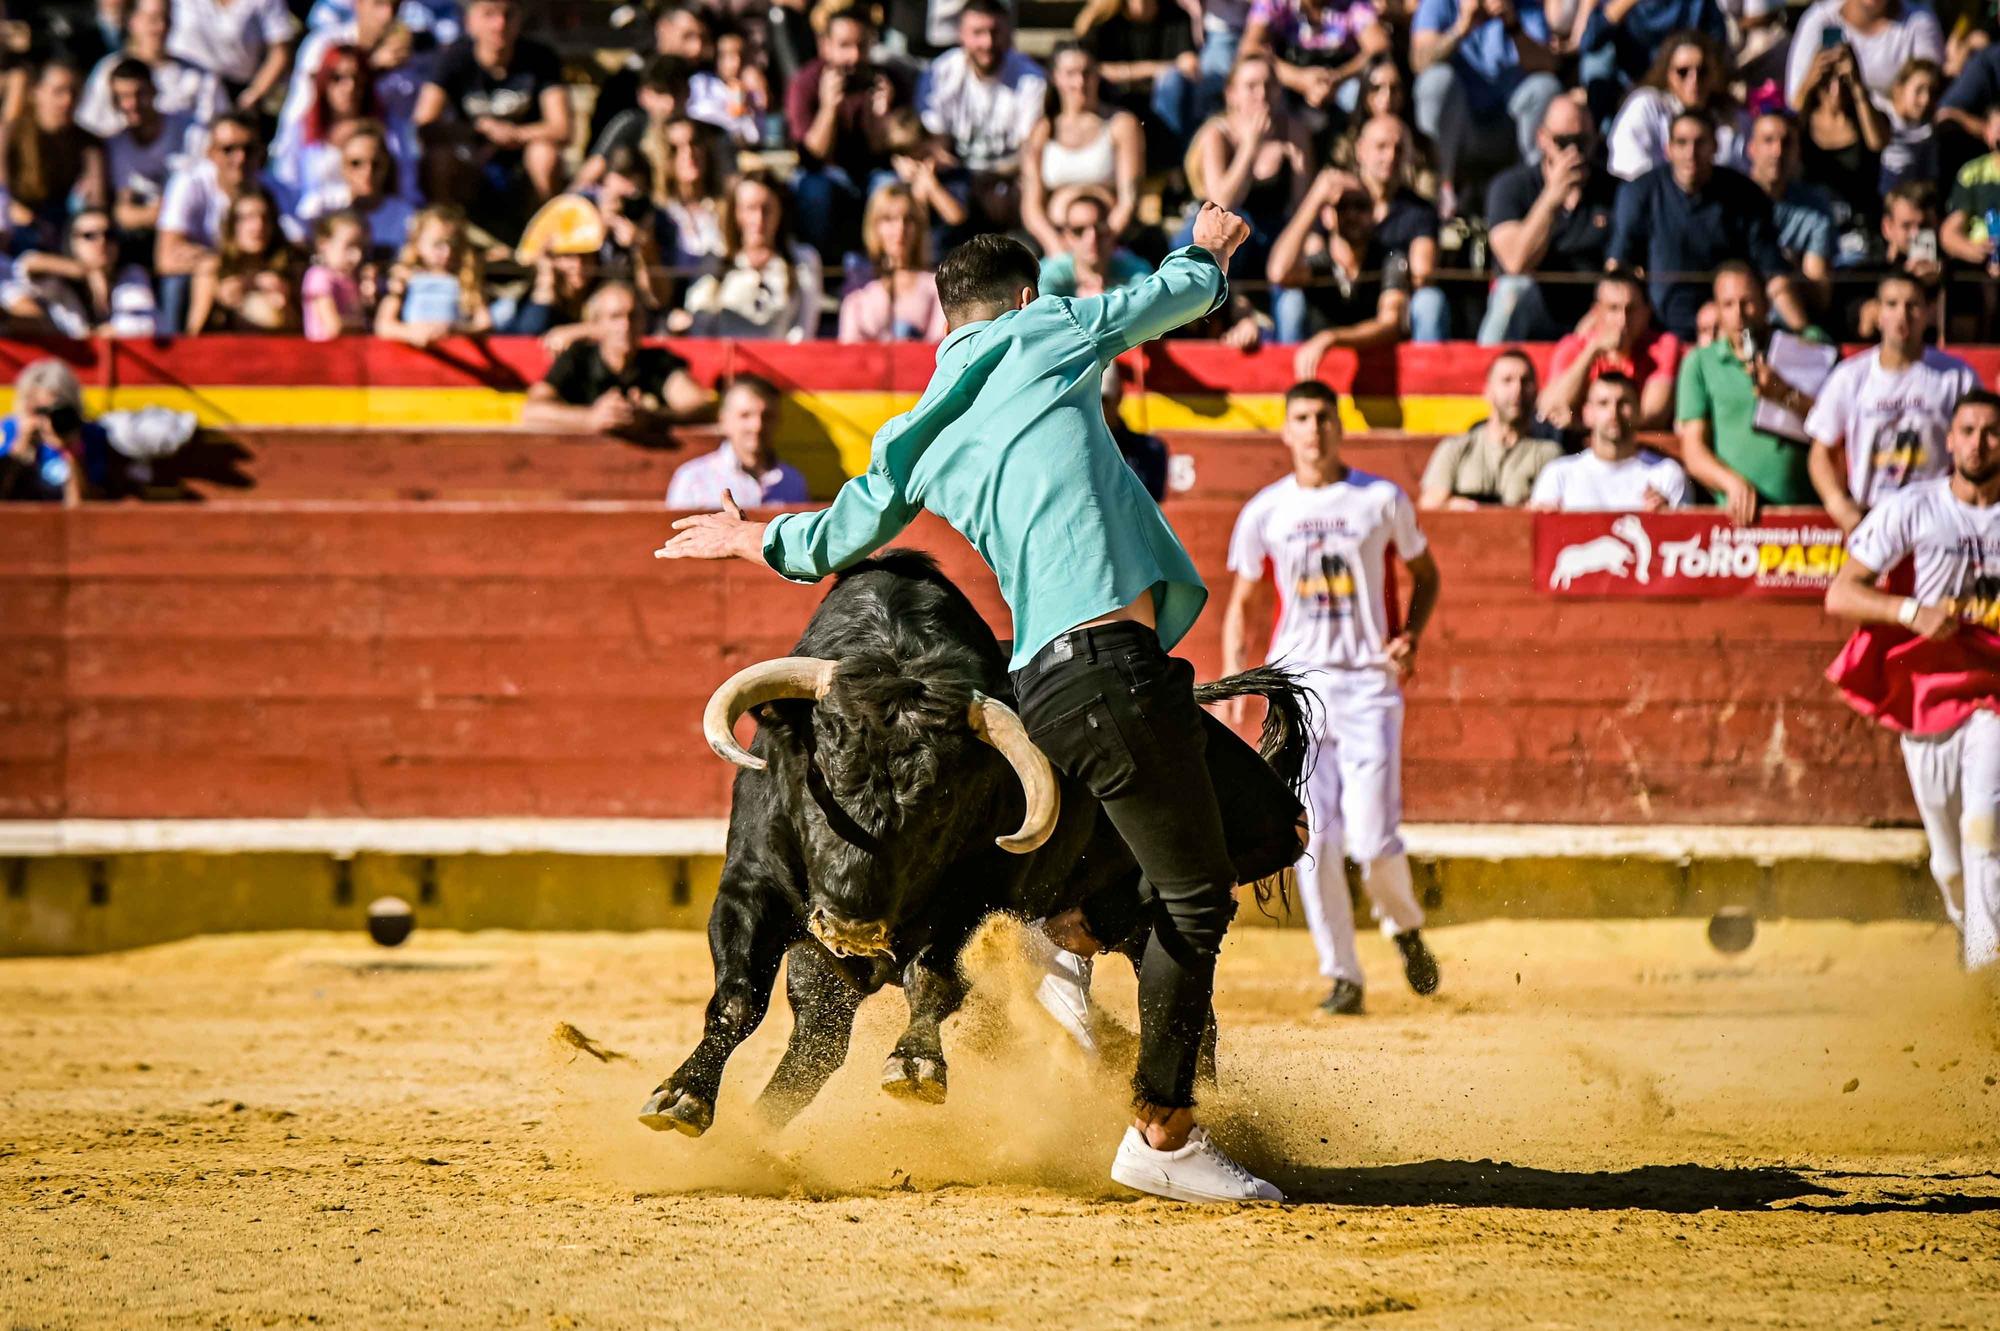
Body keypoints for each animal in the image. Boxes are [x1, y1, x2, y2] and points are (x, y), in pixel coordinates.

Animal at [632, 547, 1304, 1127]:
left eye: (938, 810)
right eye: (817, 776)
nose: (851, 925)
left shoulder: (969, 900)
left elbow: (933, 979)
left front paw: (915, 1064)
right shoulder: (749, 884)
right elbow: (737, 996)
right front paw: (683, 1094)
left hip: (1165, 907)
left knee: (1192, 1008)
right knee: (816, 1044)